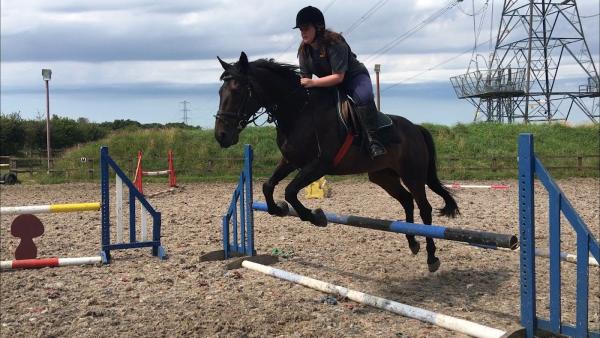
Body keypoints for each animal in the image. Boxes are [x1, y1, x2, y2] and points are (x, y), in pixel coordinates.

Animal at [216, 51, 460, 272]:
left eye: (237, 90)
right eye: (219, 91)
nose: (221, 136)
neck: (298, 112)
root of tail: (416, 128)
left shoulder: (319, 165)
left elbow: (290, 190)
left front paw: (315, 216)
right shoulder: (291, 161)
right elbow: (269, 186)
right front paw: (279, 209)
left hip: (413, 175)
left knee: (424, 208)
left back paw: (431, 257)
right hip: (383, 176)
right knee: (407, 201)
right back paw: (412, 243)